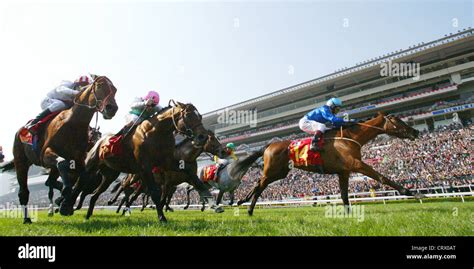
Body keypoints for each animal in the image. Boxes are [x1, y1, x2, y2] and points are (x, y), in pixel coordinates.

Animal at [12, 75, 118, 222]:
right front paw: (64, 199)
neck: (73, 123)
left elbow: (82, 176)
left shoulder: (79, 158)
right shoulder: (46, 154)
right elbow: (63, 163)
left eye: (115, 89)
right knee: (24, 191)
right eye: (100, 85)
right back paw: (27, 219)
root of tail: (19, 131)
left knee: (50, 181)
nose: (112, 108)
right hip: (21, 161)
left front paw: (66, 203)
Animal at [75, 100, 210, 222]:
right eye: (188, 114)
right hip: (93, 166)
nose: (203, 137)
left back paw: (88, 214)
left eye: (200, 116)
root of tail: (99, 142)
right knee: (82, 184)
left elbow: (188, 171)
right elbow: (155, 192)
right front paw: (162, 217)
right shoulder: (146, 167)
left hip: (110, 175)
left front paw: (205, 191)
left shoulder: (167, 161)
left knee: (95, 194)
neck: (157, 132)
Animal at [237, 112, 422, 215]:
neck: (349, 138)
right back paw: (248, 208)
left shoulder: (344, 171)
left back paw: (242, 202)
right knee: (260, 185)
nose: (416, 131)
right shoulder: (357, 164)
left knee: (258, 183)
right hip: (272, 171)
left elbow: (344, 195)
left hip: (280, 173)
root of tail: (269, 145)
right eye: (397, 120)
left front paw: (348, 214)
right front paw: (411, 192)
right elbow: (382, 178)